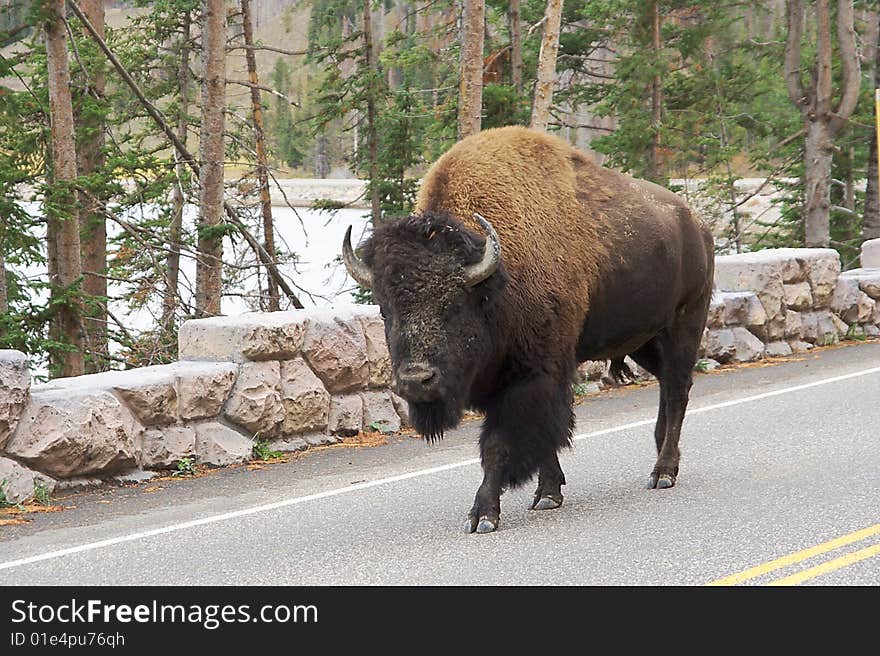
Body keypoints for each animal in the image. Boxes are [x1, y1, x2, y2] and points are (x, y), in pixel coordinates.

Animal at [342, 124, 716, 532]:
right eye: (384, 309)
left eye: (454, 306)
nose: (416, 381)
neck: (496, 282)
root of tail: (697, 225)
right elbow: (542, 439)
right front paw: (548, 493)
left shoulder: (533, 376)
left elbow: (502, 442)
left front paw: (483, 514)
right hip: (645, 340)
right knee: (666, 387)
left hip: (685, 324)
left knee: (677, 390)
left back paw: (662, 472)